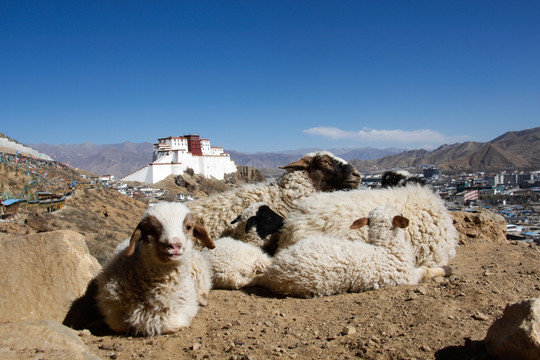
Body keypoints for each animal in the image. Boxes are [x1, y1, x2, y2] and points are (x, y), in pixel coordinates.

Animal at [95, 201, 215, 336]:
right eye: (151, 230)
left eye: (189, 227)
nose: (174, 245)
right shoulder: (113, 314)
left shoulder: (182, 313)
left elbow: (171, 324)